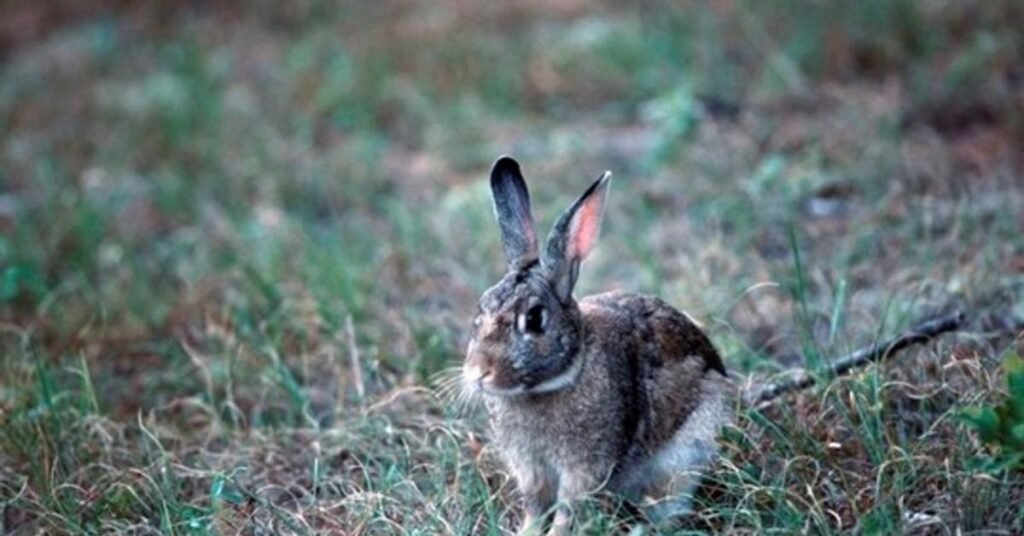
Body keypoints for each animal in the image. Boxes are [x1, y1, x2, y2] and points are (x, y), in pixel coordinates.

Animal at [463, 156, 735, 535]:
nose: (478, 372)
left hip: (686, 455)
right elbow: (535, 506)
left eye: (534, 319)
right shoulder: (530, 469)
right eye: (481, 307)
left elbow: (568, 510)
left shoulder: (585, 469)